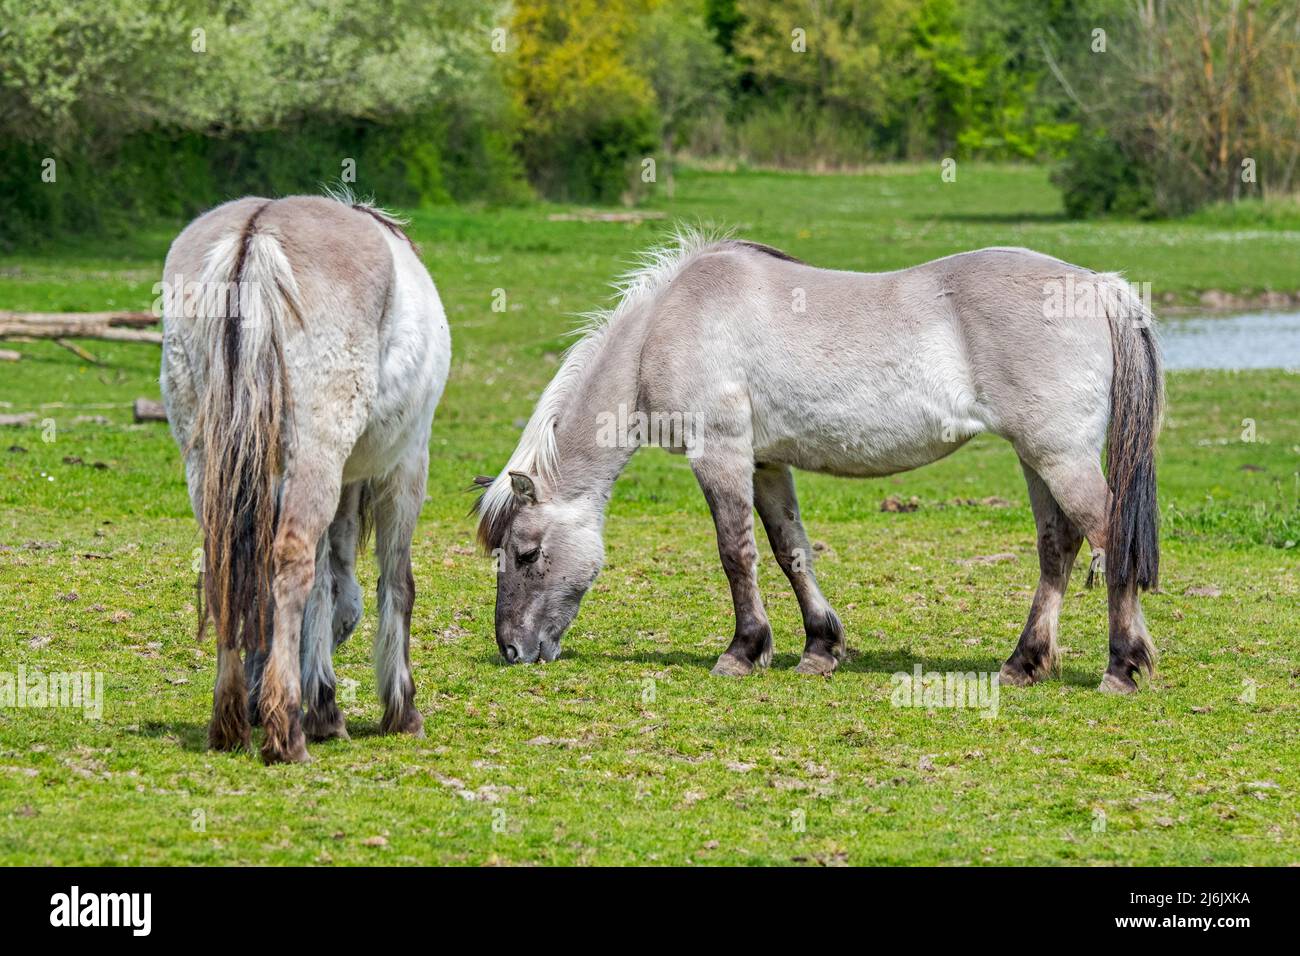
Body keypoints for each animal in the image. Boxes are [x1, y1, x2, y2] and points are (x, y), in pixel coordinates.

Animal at [161, 192, 450, 763]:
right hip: (319, 455)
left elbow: (323, 584)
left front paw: (323, 708)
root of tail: (256, 234)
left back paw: (231, 722)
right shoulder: (406, 466)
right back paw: (283, 733)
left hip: (210, 465)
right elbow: (393, 583)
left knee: (225, 565)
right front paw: (396, 709)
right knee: (292, 562)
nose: (258, 701)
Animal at [474, 229, 1161, 694]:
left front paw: (742, 652)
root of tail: (1101, 287)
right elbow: (790, 550)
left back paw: (1123, 667)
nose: (511, 650)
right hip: (1036, 458)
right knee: (1058, 546)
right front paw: (819, 647)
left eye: (527, 554)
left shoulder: (720, 455)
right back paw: (1024, 663)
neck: (667, 326)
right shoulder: (766, 464)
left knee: (1109, 535)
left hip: (1058, 456)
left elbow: (736, 553)